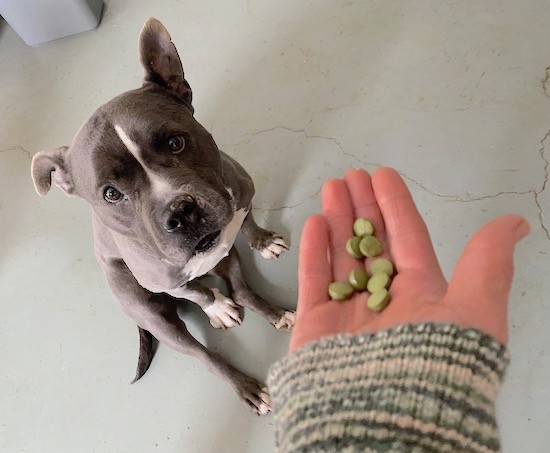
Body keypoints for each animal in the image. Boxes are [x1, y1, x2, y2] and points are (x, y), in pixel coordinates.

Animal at [30, 16, 298, 414]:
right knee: (208, 356)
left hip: (229, 261)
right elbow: (195, 292)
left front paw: (264, 242)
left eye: (175, 142)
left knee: (244, 288)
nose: (181, 212)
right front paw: (216, 307)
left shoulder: (242, 200)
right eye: (111, 194)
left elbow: (248, 225)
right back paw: (246, 384)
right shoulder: (163, 282)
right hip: (158, 319)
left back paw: (278, 313)